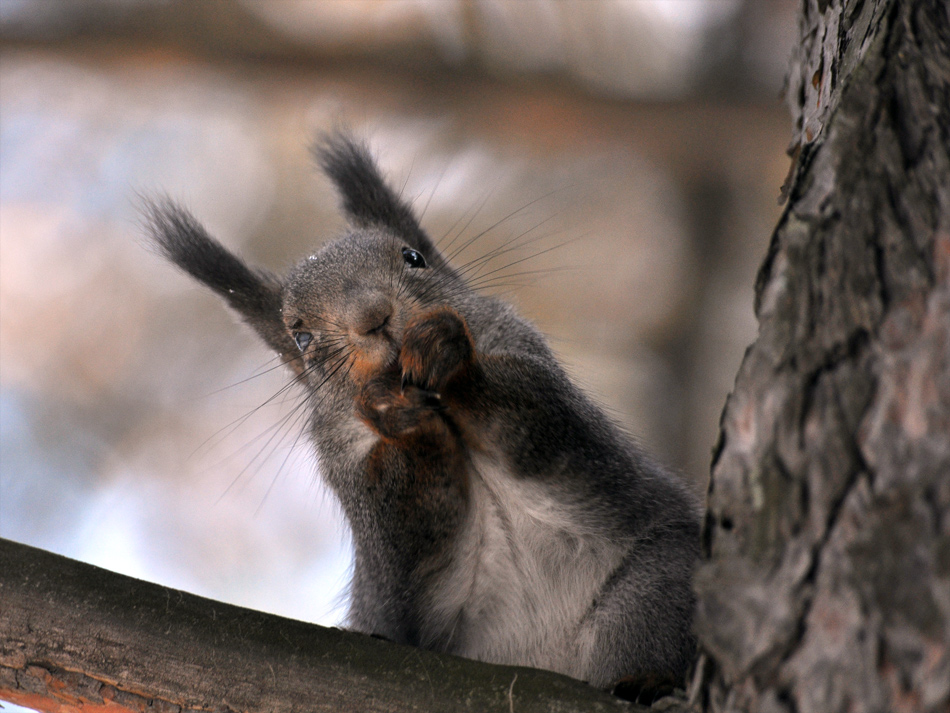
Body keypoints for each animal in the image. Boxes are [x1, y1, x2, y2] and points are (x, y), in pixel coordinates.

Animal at [145, 132, 704, 688]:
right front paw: (398, 415)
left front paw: (449, 355)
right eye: (301, 338)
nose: (373, 316)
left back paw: (647, 685)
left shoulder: (533, 366)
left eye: (413, 257)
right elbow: (402, 542)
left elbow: (542, 417)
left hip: (659, 581)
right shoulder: (362, 502)